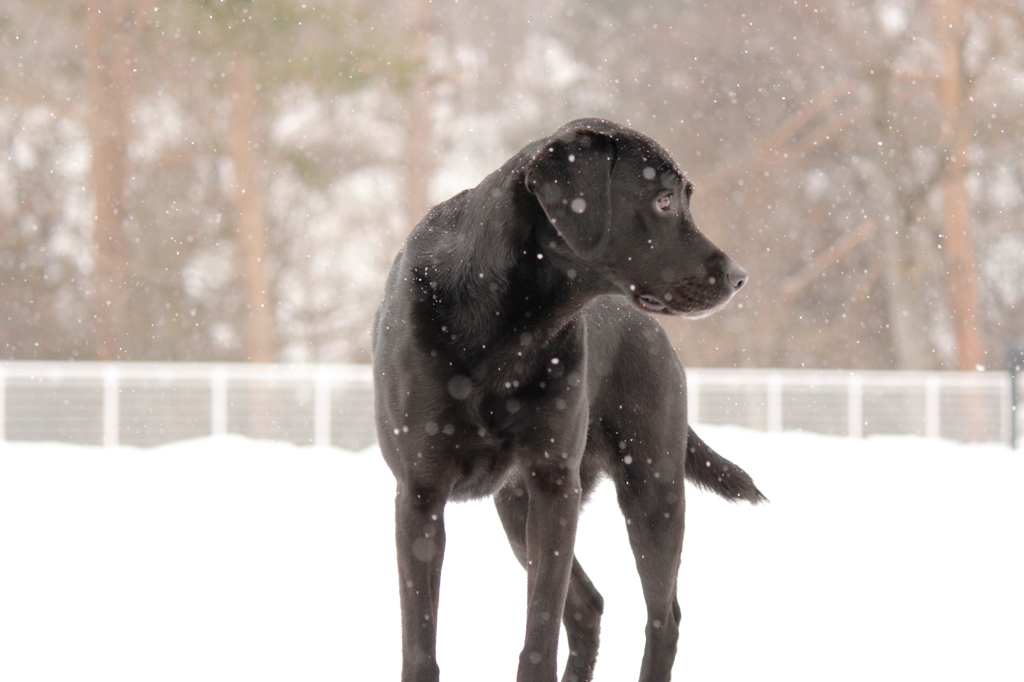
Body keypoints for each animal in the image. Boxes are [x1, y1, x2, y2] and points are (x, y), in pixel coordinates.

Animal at [372, 118, 765, 679]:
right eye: (665, 199)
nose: (738, 277)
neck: (506, 326)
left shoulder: (555, 485)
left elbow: (540, 630)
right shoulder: (419, 494)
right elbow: (420, 645)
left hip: (653, 488)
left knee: (662, 619)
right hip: (520, 509)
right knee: (589, 607)